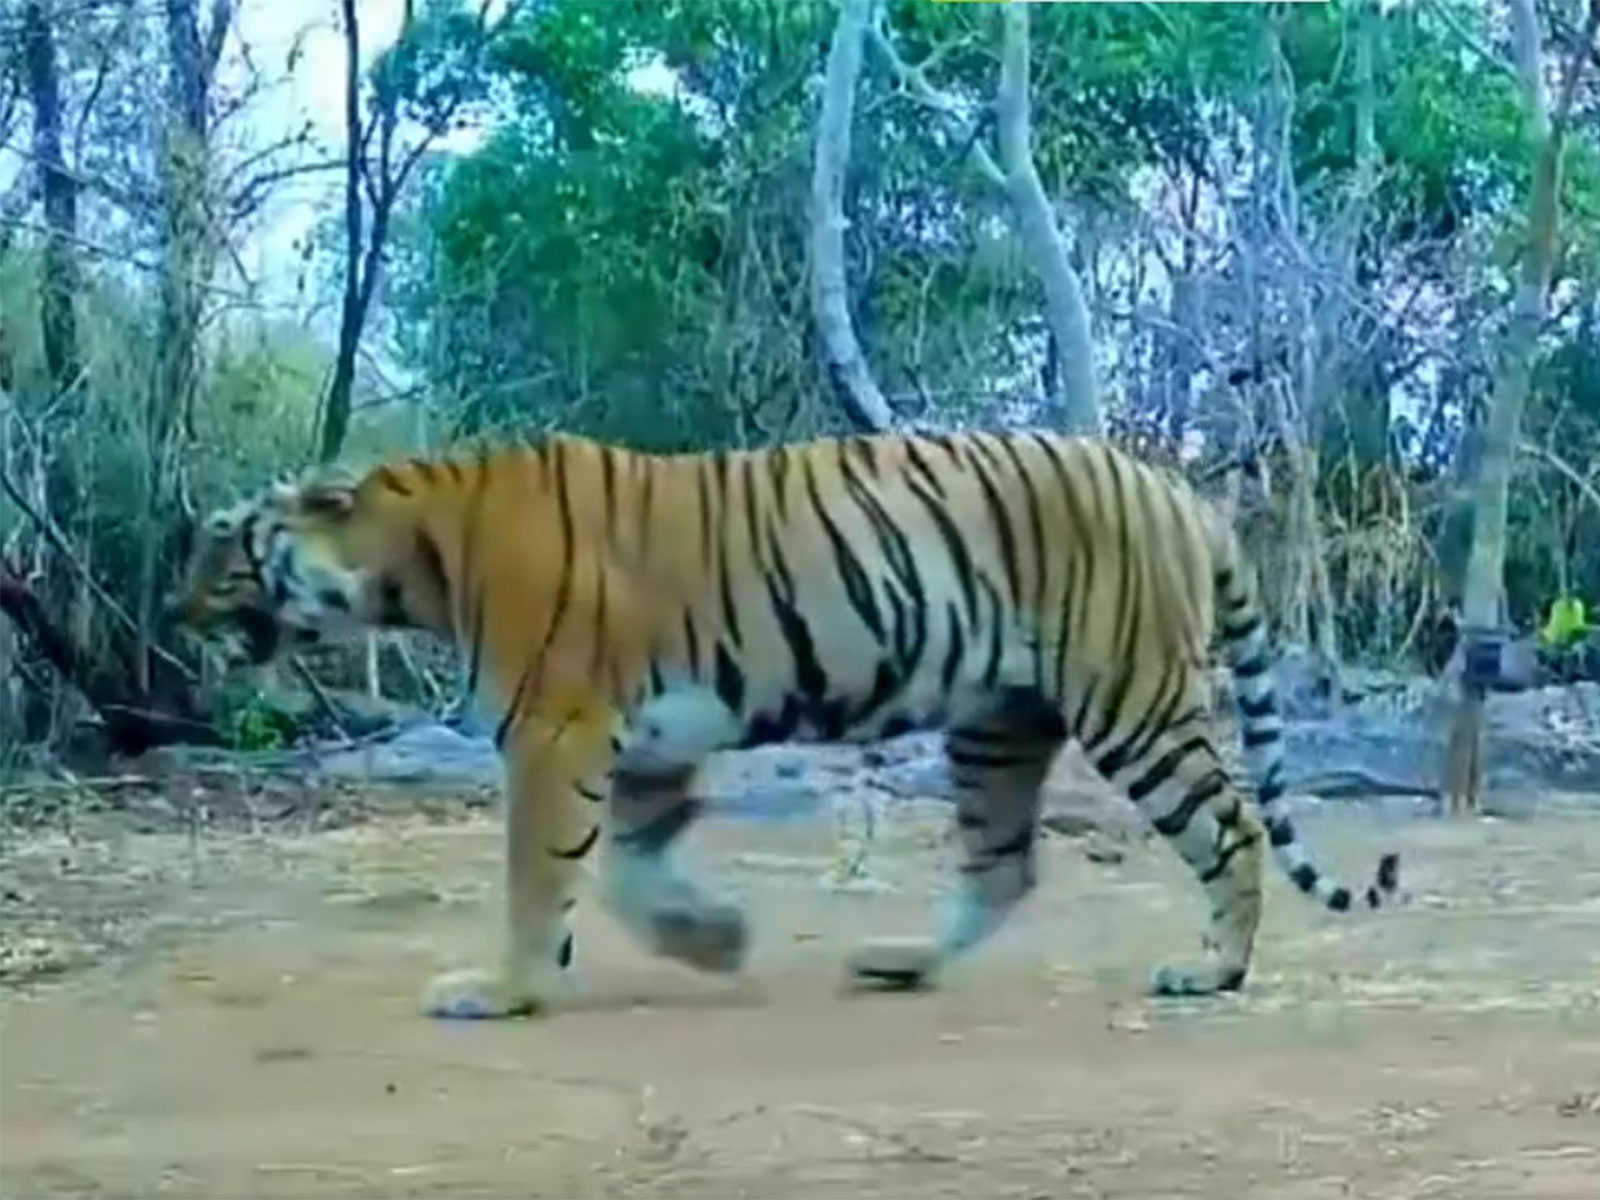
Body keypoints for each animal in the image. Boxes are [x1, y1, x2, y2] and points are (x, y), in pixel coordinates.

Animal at [174, 430, 1401, 1020]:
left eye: (224, 552)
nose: (174, 615)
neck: (410, 555)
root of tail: (1180, 490)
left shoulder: (554, 731)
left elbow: (538, 877)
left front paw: (501, 992)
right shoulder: (642, 744)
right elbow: (625, 874)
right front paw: (716, 941)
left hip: (1130, 700)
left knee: (1229, 828)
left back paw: (1212, 972)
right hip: (996, 723)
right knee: (1003, 868)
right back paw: (898, 962)